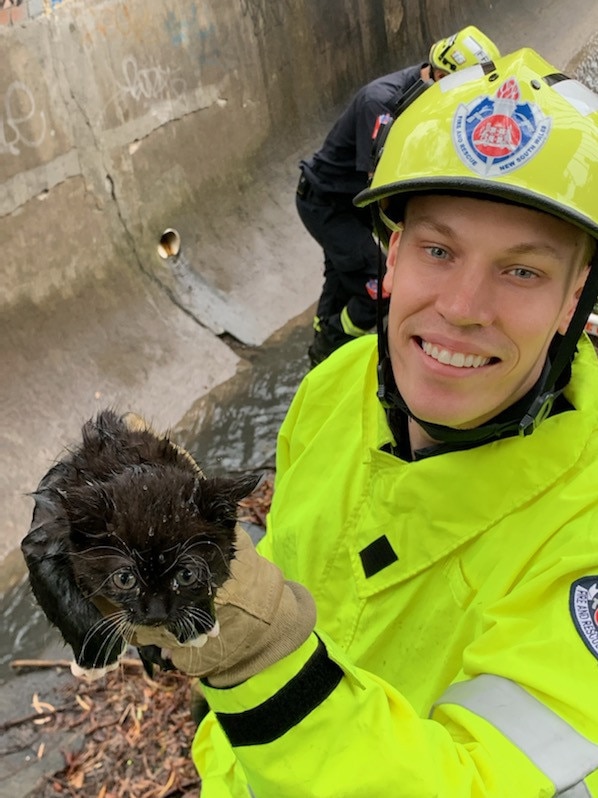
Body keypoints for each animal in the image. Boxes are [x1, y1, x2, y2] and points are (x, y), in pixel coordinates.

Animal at [21, 412, 260, 680]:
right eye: (124, 579)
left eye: (187, 575)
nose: (156, 614)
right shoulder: (44, 534)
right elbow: (59, 592)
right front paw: (96, 656)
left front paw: (197, 624)